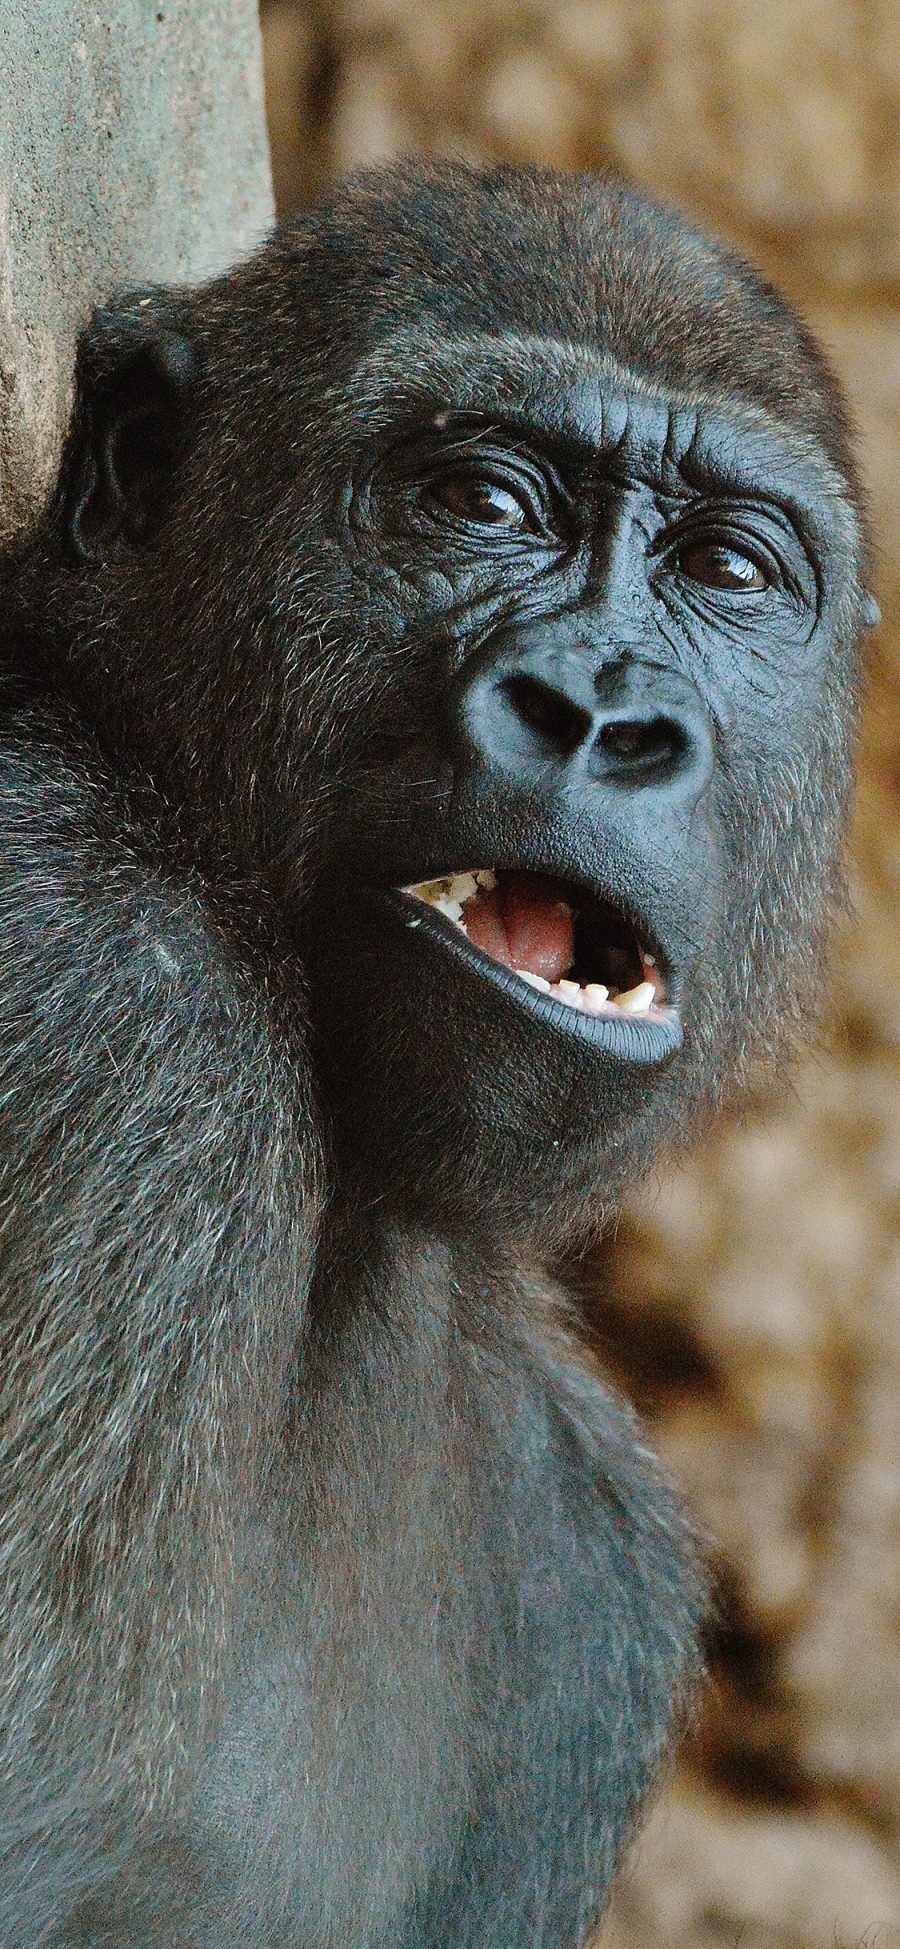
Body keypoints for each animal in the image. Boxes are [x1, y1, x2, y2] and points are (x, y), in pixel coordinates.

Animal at [0, 167, 872, 1949]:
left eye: (730, 570)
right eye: (481, 498)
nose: (603, 715)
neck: (362, 1214)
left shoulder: (608, 1577)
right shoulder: (111, 993)